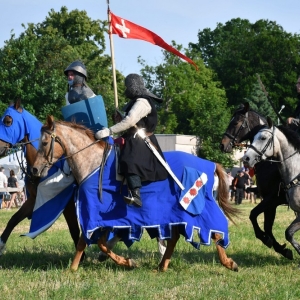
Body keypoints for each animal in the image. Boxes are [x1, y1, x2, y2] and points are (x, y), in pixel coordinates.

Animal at [32, 116, 239, 272]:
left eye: (44, 142)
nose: (35, 169)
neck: (93, 163)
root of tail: (211, 165)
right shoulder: (101, 218)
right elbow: (95, 242)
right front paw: (77, 267)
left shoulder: (96, 214)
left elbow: (94, 242)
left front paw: (124, 262)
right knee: (174, 238)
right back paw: (162, 266)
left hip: (196, 209)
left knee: (214, 232)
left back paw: (229, 263)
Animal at [219, 104, 292, 258]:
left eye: (236, 123)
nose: (222, 145)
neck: (269, 162)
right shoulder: (269, 202)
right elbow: (267, 226)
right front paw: (280, 248)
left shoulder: (272, 198)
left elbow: (253, 215)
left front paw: (268, 240)